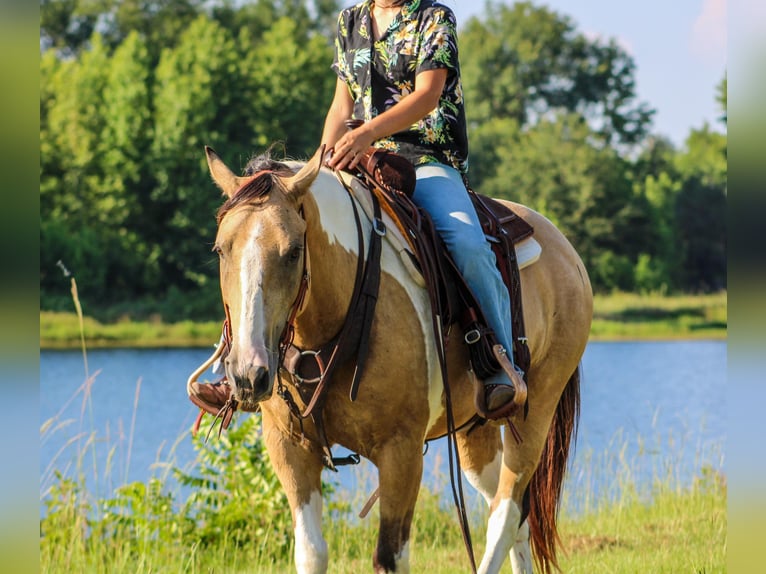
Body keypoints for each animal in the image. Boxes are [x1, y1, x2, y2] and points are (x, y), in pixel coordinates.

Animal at [203, 145, 592, 574]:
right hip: (475, 431)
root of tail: (564, 248)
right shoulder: (289, 447)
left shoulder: (401, 452)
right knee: (513, 514)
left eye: (292, 252)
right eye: (220, 250)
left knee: (505, 514)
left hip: (537, 408)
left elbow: (390, 555)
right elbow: (311, 551)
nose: (248, 374)